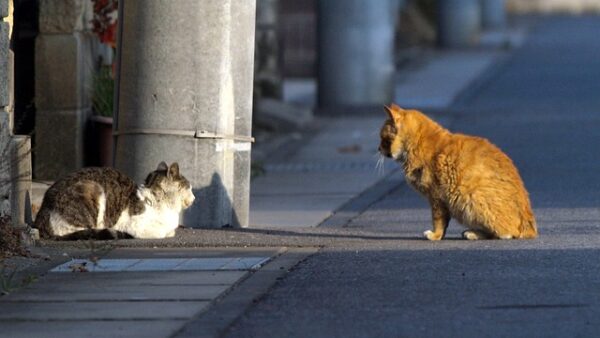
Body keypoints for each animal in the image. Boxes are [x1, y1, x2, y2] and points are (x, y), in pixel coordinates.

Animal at [33, 162, 195, 239]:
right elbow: (162, 232)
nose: (194, 197)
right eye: (189, 187)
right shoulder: (135, 225)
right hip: (91, 188)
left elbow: (170, 232)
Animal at [378, 104, 536, 239]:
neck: (417, 144)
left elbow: (438, 220)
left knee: (507, 232)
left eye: (383, 139)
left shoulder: (436, 196)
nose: (378, 149)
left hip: (471, 197)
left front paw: (435, 236)